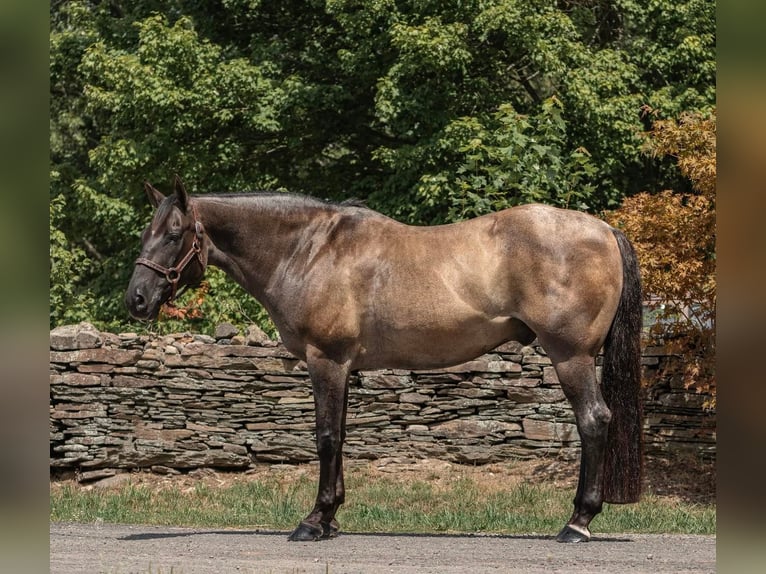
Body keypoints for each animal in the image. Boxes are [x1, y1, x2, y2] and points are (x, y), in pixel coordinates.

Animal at [129, 179, 644, 544]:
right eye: (145, 233)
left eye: (173, 234)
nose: (136, 299)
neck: (309, 249)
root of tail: (605, 230)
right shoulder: (343, 368)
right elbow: (340, 436)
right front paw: (332, 518)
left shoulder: (326, 361)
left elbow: (326, 437)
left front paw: (313, 521)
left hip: (570, 356)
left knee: (593, 421)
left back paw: (577, 522)